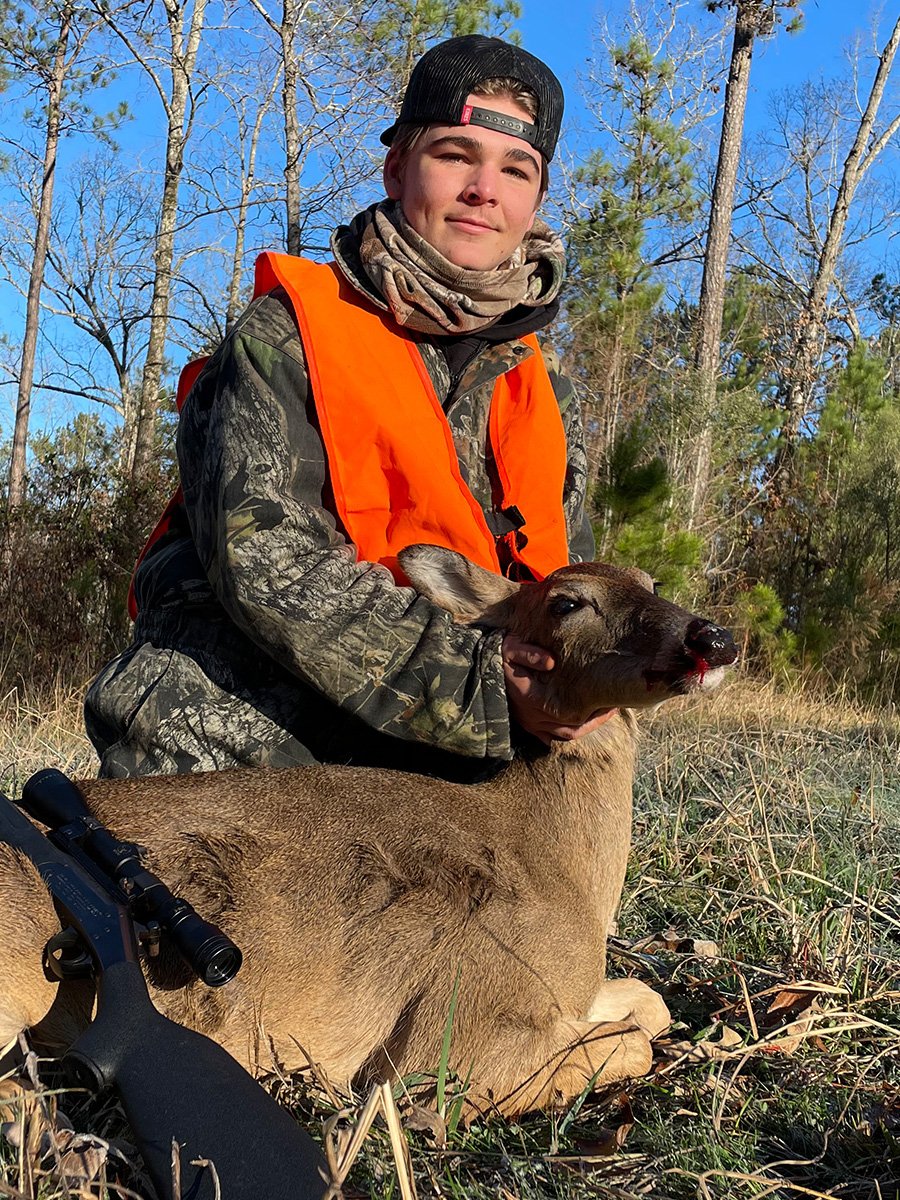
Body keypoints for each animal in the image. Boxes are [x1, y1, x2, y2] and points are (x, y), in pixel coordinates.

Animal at [0, 545, 737, 1119]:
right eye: (567, 603)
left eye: (651, 583)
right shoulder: (449, 1041)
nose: (712, 637)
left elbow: (650, 1003)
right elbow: (631, 1040)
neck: (561, 867)